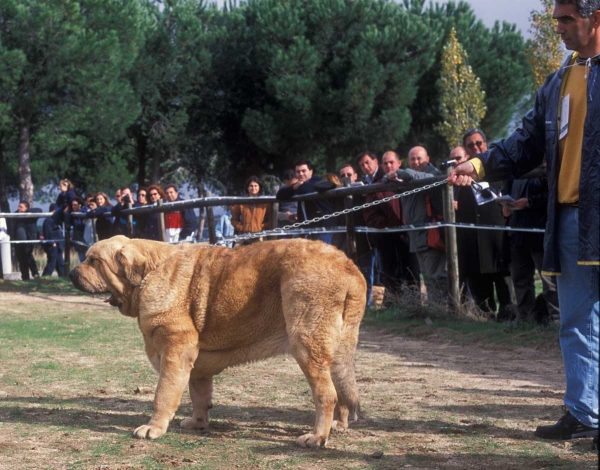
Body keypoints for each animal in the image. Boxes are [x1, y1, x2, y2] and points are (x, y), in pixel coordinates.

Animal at [69, 237, 366, 446]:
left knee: (326, 394)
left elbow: (164, 394)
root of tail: (349, 267)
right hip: (336, 350)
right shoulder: (196, 363)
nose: (72, 273)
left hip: (306, 344)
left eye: (94, 261)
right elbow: (199, 394)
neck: (149, 275)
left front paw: (153, 428)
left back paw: (316, 437)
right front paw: (198, 423)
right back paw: (338, 426)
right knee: (341, 391)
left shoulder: (175, 352)